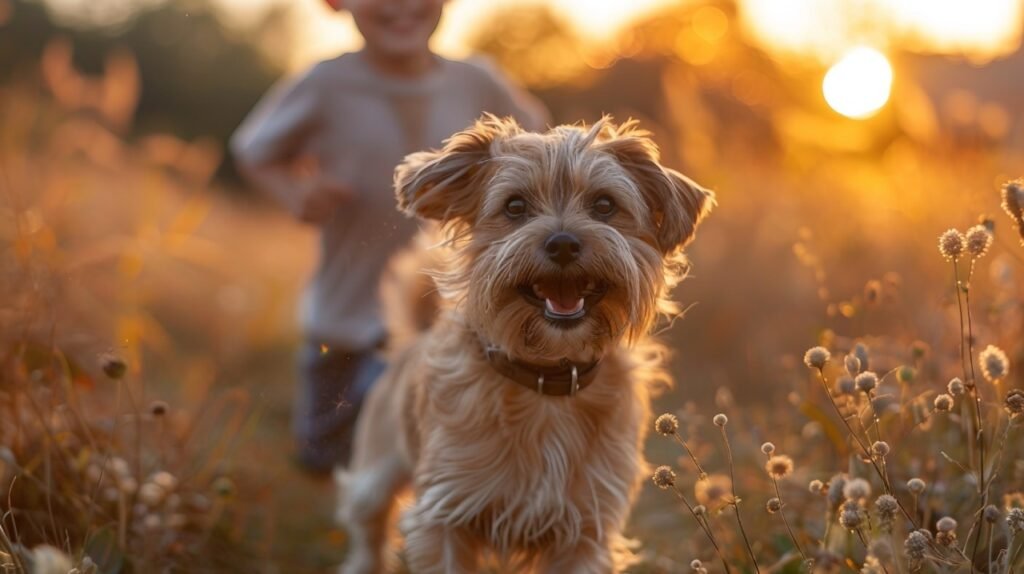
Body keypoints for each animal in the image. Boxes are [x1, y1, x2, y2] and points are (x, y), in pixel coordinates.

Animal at [335, 116, 712, 572]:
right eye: (514, 207)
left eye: (605, 205)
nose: (563, 243)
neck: (547, 379)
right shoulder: (445, 512)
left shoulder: (585, 527)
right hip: (374, 473)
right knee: (368, 531)